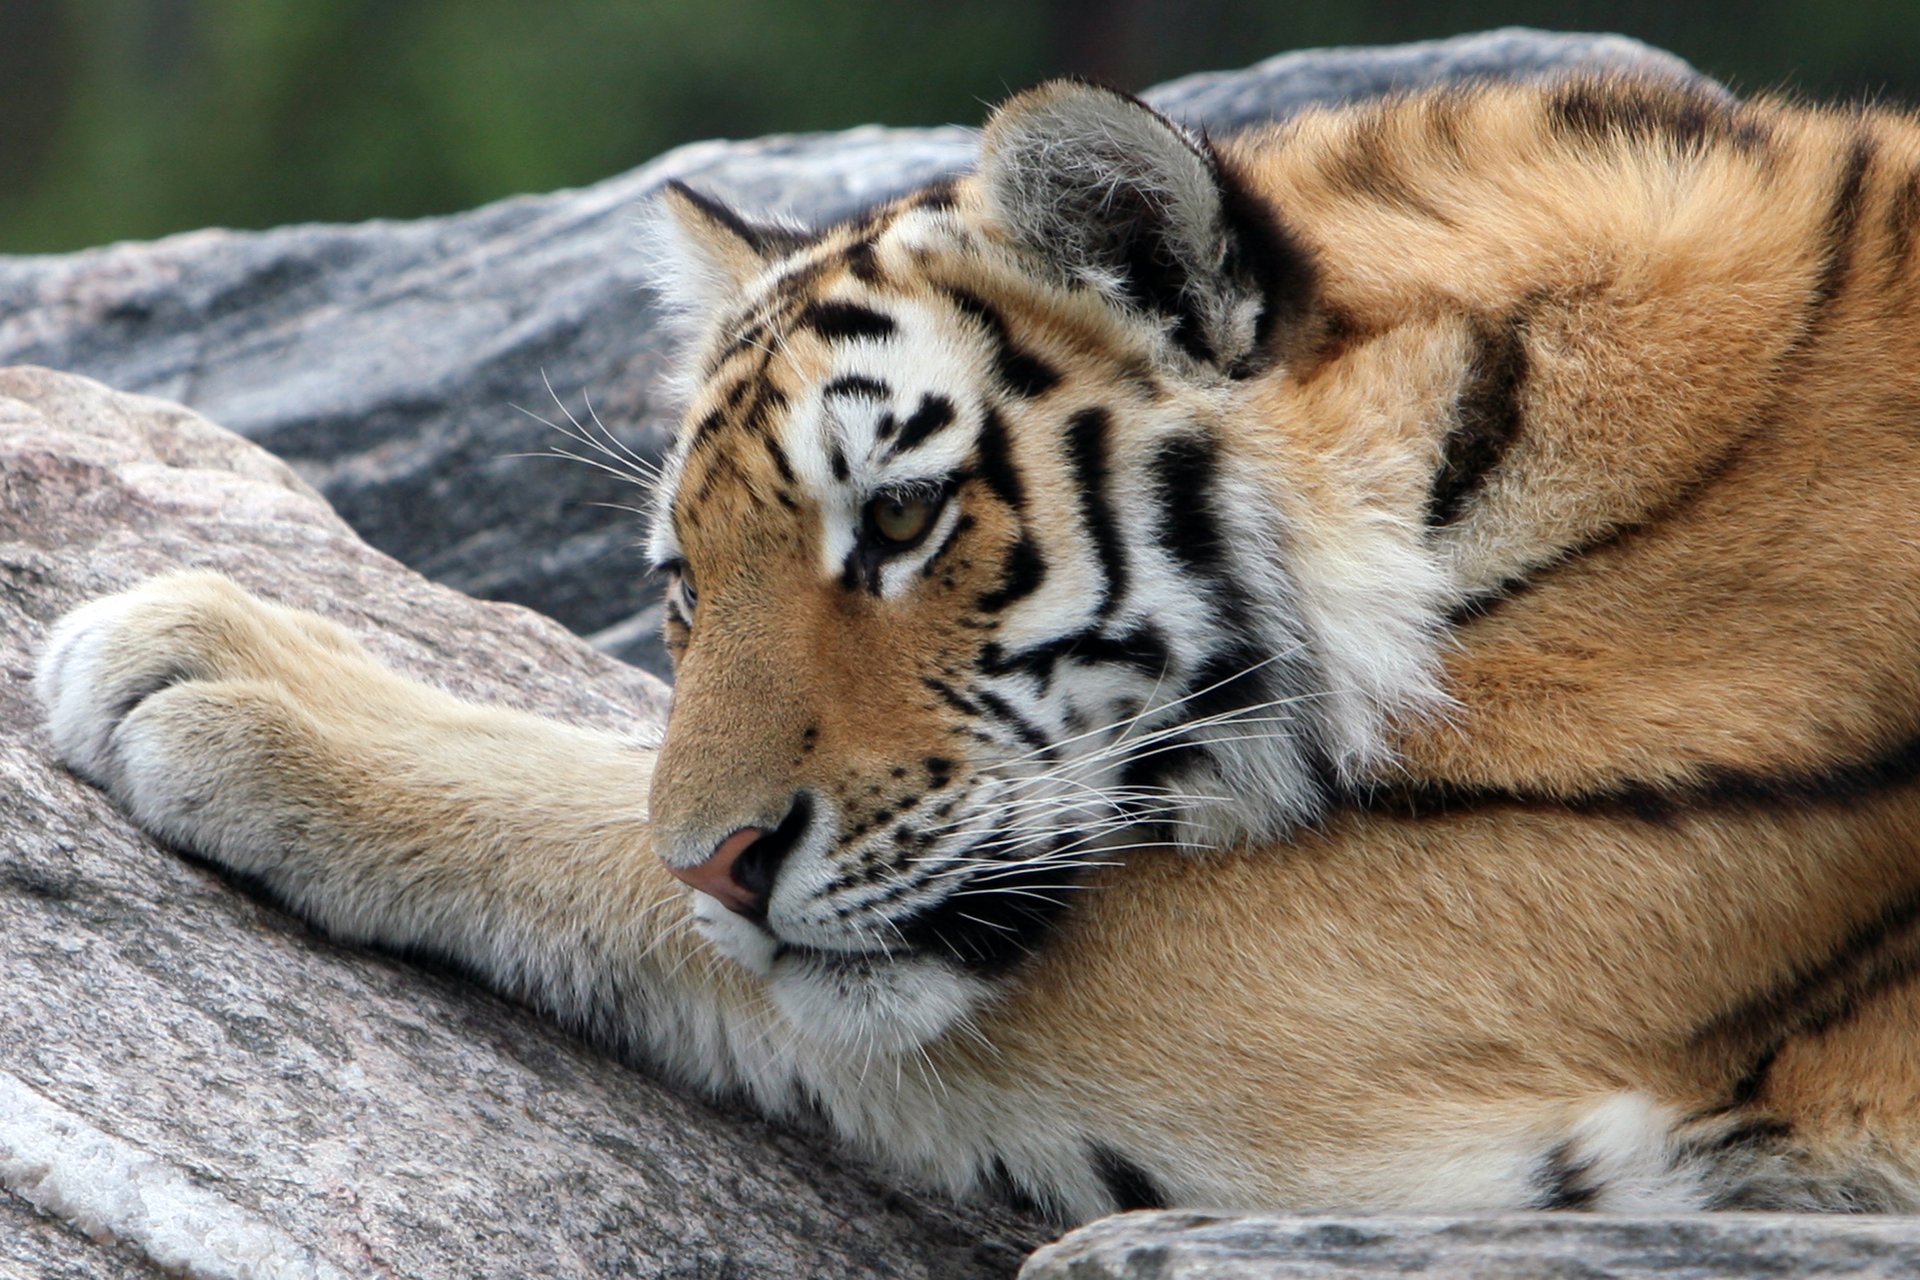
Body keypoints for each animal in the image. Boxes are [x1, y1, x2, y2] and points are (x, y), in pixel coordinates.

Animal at [35, 72, 1920, 1225]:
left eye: (898, 518)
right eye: (682, 588)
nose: (721, 862)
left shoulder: (1390, 964)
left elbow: (601, 829)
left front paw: (208, 662)